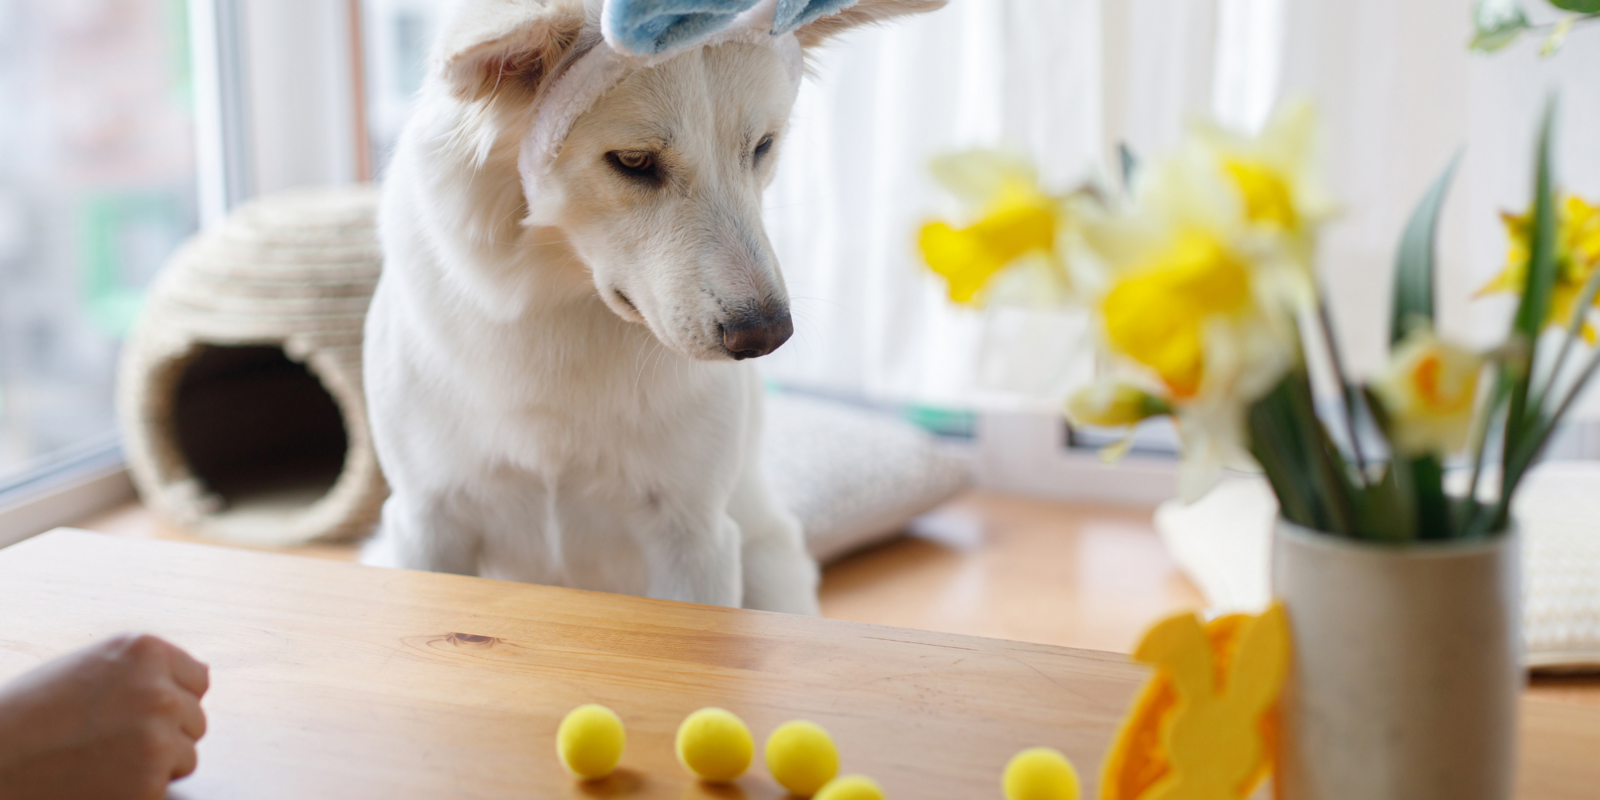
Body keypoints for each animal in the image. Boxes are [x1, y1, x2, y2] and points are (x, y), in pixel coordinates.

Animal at [360, 0, 934, 611]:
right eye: (633, 161)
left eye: (761, 147)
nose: (766, 337)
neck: (560, 310)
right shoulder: (426, 524)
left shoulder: (695, 538)